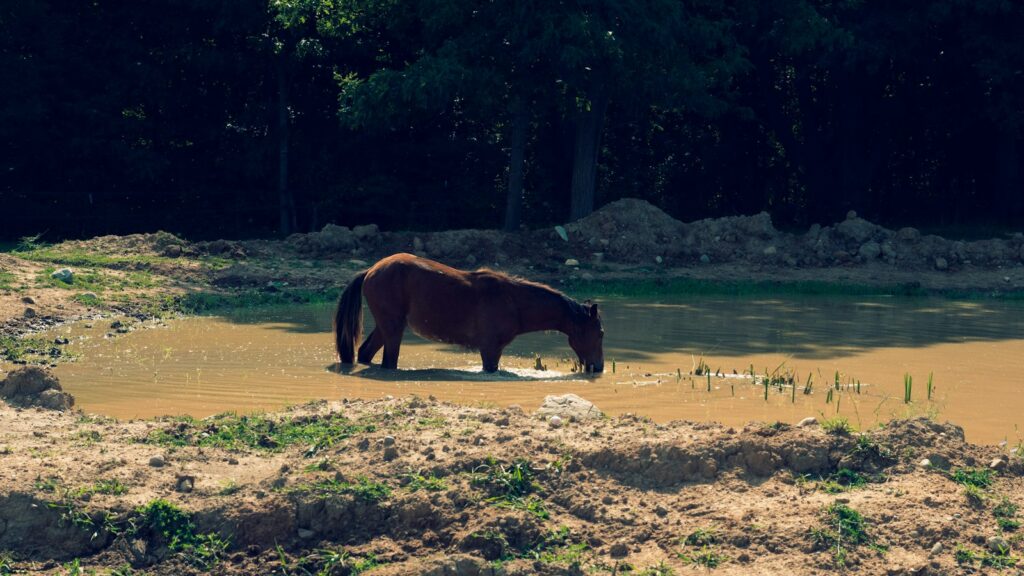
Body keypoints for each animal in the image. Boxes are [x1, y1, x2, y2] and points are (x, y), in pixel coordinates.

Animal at [334, 253, 604, 373]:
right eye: (600, 333)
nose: (599, 367)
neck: (513, 301)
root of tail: (371, 270)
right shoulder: (490, 350)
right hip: (392, 328)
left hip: (386, 326)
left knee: (365, 352)